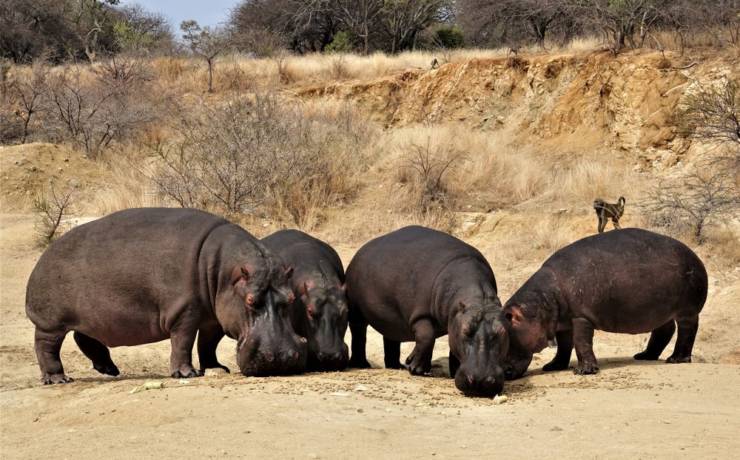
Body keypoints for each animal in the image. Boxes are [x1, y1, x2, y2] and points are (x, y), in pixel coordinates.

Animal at [23, 208, 306, 384]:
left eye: (292, 299)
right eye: (250, 301)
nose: (279, 359)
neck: (225, 272)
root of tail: (43, 256)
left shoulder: (214, 316)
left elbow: (208, 343)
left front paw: (215, 368)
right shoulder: (184, 312)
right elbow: (183, 341)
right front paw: (187, 374)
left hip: (93, 316)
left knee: (84, 338)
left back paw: (110, 370)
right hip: (51, 323)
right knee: (46, 347)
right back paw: (58, 378)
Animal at [346, 226, 508, 396]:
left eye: (503, 332)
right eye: (465, 331)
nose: (481, 381)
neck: (476, 299)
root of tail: (360, 250)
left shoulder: (454, 322)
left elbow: (450, 347)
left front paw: (450, 371)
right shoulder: (423, 315)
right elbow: (426, 337)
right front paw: (414, 368)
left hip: (389, 318)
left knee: (391, 338)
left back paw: (397, 366)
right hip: (357, 312)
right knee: (359, 333)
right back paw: (362, 364)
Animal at [506, 228, 708, 376]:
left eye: (508, 337)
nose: (504, 373)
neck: (544, 298)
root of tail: (695, 255)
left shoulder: (581, 317)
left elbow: (581, 342)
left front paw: (583, 371)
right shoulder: (563, 323)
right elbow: (563, 346)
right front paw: (553, 366)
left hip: (687, 311)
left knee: (687, 331)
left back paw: (676, 359)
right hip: (660, 310)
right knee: (664, 330)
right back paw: (644, 356)